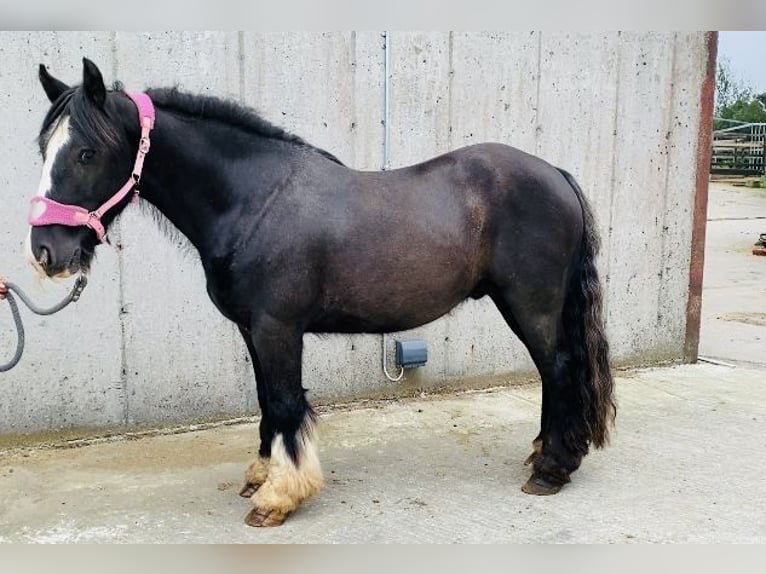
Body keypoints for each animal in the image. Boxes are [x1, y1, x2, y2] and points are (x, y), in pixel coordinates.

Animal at [27, 58, 616, 528]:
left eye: (86, 153)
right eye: (43, 148)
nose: (45, 251)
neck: (254, 200)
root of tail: (555, 173)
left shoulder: (278, 328)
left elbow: (288, 401)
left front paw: (279, 497)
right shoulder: (253, 330)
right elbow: (266, 398)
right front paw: (261, 474)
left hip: (531, 304)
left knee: (558, 369)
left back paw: (552, 469)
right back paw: (544, 455)